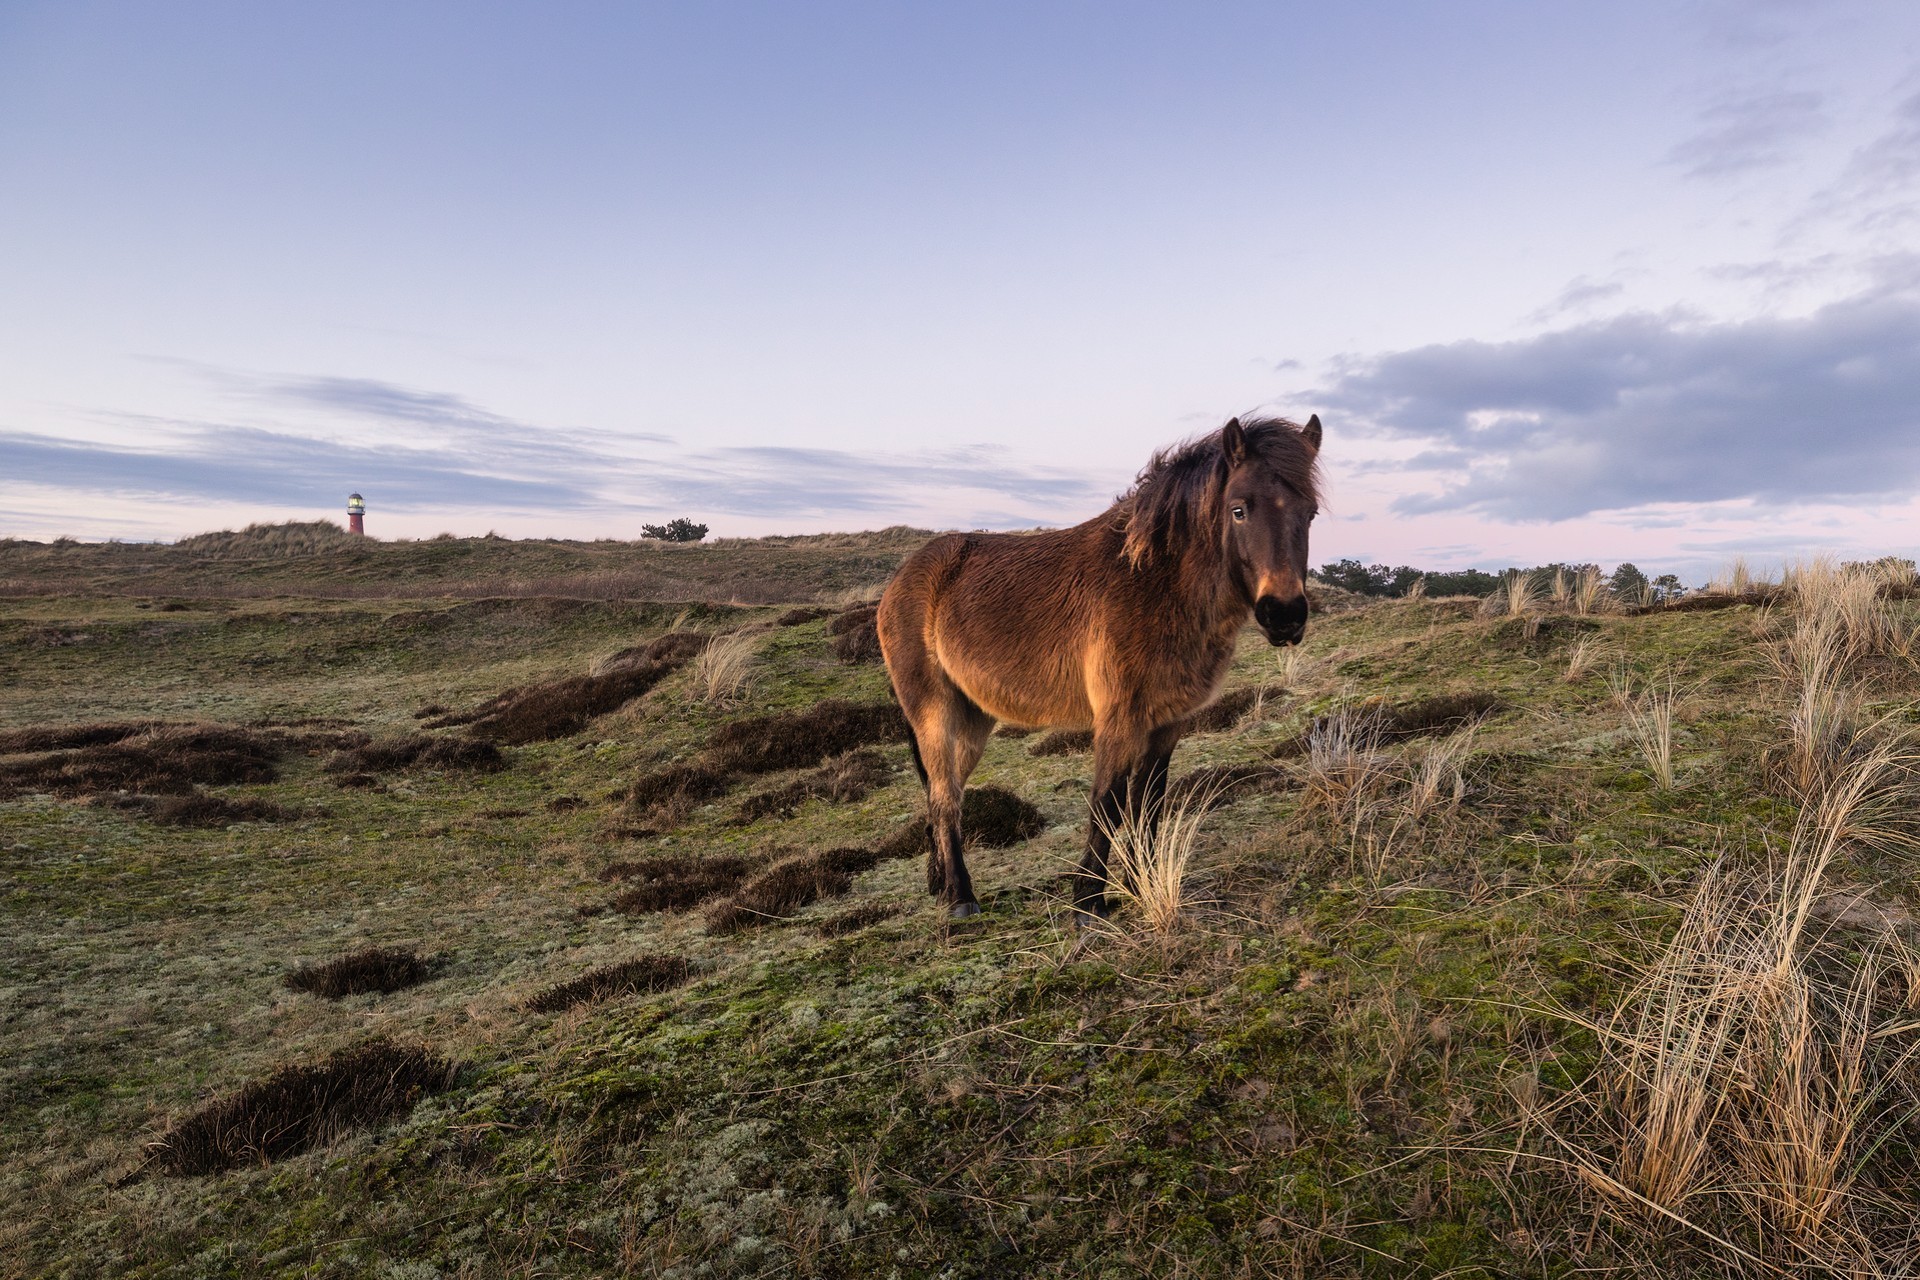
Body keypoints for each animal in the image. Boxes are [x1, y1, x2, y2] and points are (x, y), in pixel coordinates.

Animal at [877, 414, 1323, 921]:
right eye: (1239, 510)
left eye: (1310, 513)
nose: (1284, 615)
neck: (1155, 582)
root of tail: (900, 581)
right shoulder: (1119, 718)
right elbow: (1106, 804)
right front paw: (1087, 902)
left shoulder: (1167, 724)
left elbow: (1148, 804)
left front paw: (1141, 881)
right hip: (935, 715)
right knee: (945, 798)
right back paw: (961, 898)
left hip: (972, 721)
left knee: (941, 792)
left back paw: (939, 884)